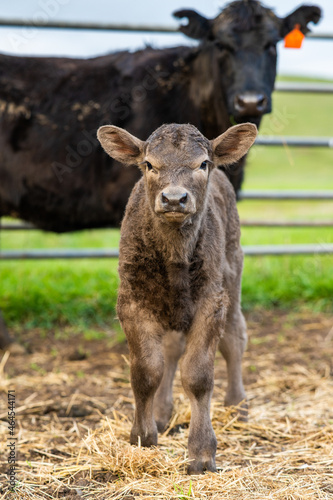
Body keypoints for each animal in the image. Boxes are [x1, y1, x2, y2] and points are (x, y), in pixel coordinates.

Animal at [96, 121, 256, 472]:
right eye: (149, 165)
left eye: (203, 164)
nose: (173, 198)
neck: (173, 258)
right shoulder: (132, 303)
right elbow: (146, 371)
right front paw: (143, 436)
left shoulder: (212, 302)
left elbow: (197, 375)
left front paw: (201, 452)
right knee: (170, 351)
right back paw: (162, 412)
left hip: (233, 272)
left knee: (235, 338)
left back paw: (237, 405)